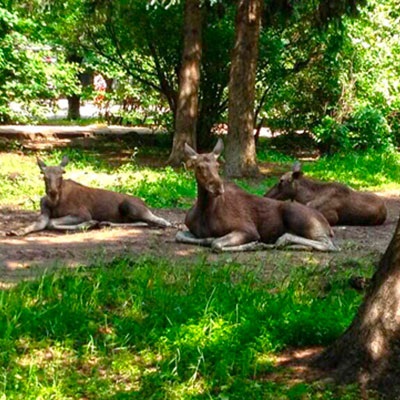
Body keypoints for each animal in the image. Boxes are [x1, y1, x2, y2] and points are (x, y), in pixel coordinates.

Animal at [7, 156, 170, 236]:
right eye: (44, 175)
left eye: (61, 174)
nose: (52, 192)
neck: (55, 203)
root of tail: (144, 203)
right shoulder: (44, 212)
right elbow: (41, 224)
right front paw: (16, 231)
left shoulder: (82, 213)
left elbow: (51, 223)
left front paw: (89, 224)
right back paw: (105, 223)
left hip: (130, 206)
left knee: (162, 221)